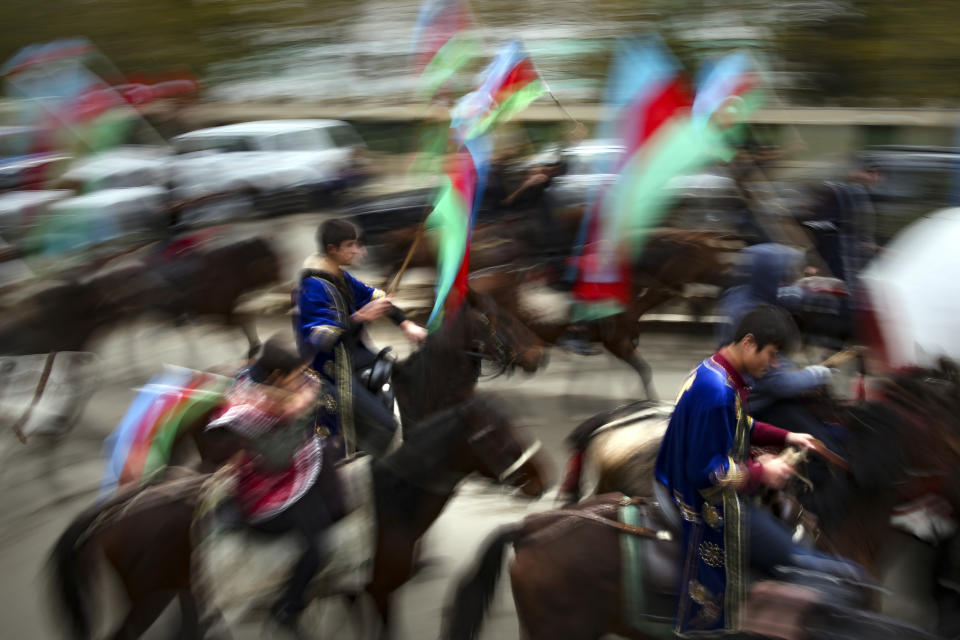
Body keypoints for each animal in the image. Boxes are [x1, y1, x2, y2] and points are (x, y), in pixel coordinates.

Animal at [50, 396, 548, 640]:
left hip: (185, 588)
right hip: (148, 598)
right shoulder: (379, 593)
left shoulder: (350, 591)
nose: (542, 479)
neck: (391, 505)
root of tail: (116, 511)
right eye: (496, 435)